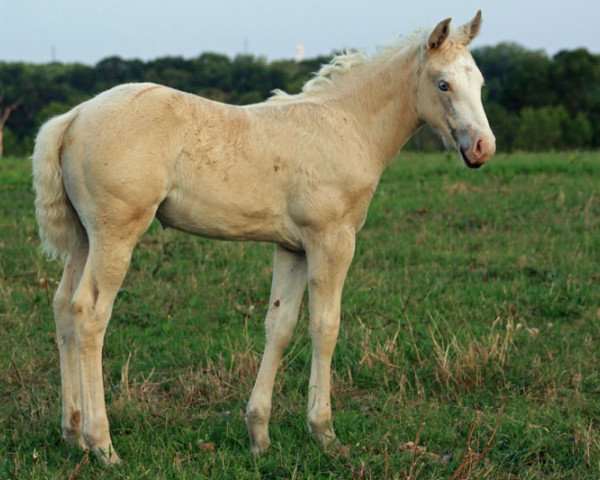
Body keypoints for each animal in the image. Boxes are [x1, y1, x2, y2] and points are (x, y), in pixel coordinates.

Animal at [30, 10, 494, 464]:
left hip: (83, 238)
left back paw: (72, 433)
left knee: (64, 308)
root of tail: (73, 117)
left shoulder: (292, 247)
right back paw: (103, 444)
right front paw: (324, 432)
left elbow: (280, 325)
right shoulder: (332, 240)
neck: (348, 126)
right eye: (443, 83)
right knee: (90, 313)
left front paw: (259, 434)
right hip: (115, 234)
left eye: (480, 82)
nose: (483, 148)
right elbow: (325, 325)